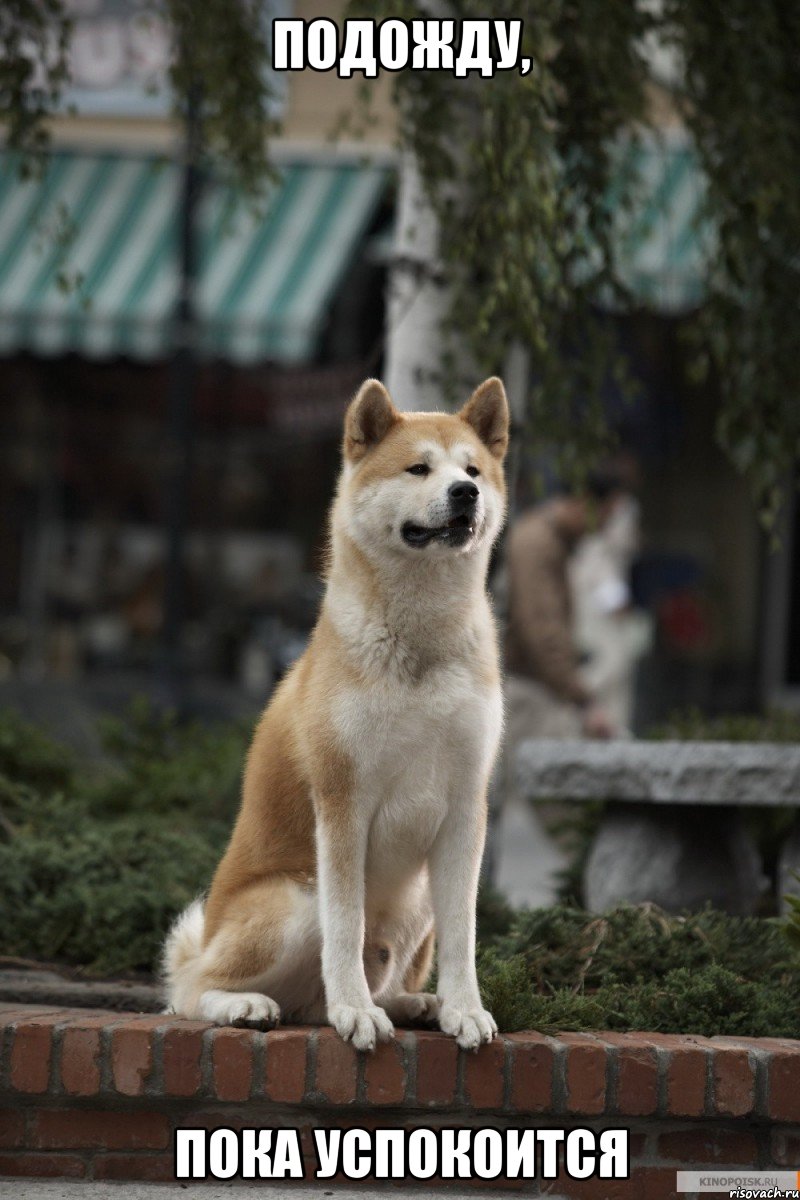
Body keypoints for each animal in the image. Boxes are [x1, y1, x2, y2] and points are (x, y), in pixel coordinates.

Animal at [163, 376, 510, 1051]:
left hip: (416, 900)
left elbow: (465, 936)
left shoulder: (466, 806)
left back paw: (414, 1003)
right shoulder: (343, 800)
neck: (420, 644)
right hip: (296, 900)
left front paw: (464, 1009)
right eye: (419, 468)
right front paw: (355, 1011)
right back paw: (250, 1005)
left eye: (473, 469)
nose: (466, 493)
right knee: (189, 990)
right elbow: (345, 928)